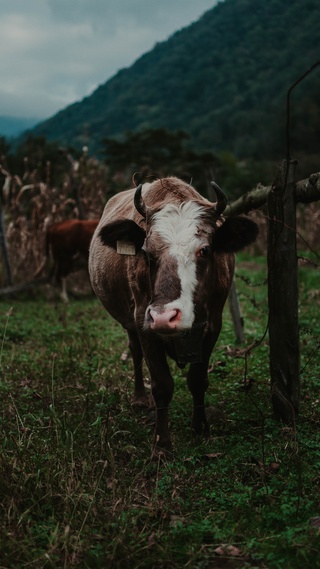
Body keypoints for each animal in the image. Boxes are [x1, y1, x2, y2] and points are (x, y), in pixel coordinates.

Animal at [88, 178, 258, 452]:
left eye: (205, 250)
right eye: (147, 253)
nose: (164, 317)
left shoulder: (212, 326)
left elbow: (197, 380)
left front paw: (201, 429)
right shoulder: (144, 323)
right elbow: (162, 385)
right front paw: (162, 443)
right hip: (130, 323)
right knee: (135, 352)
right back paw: (140, 398)